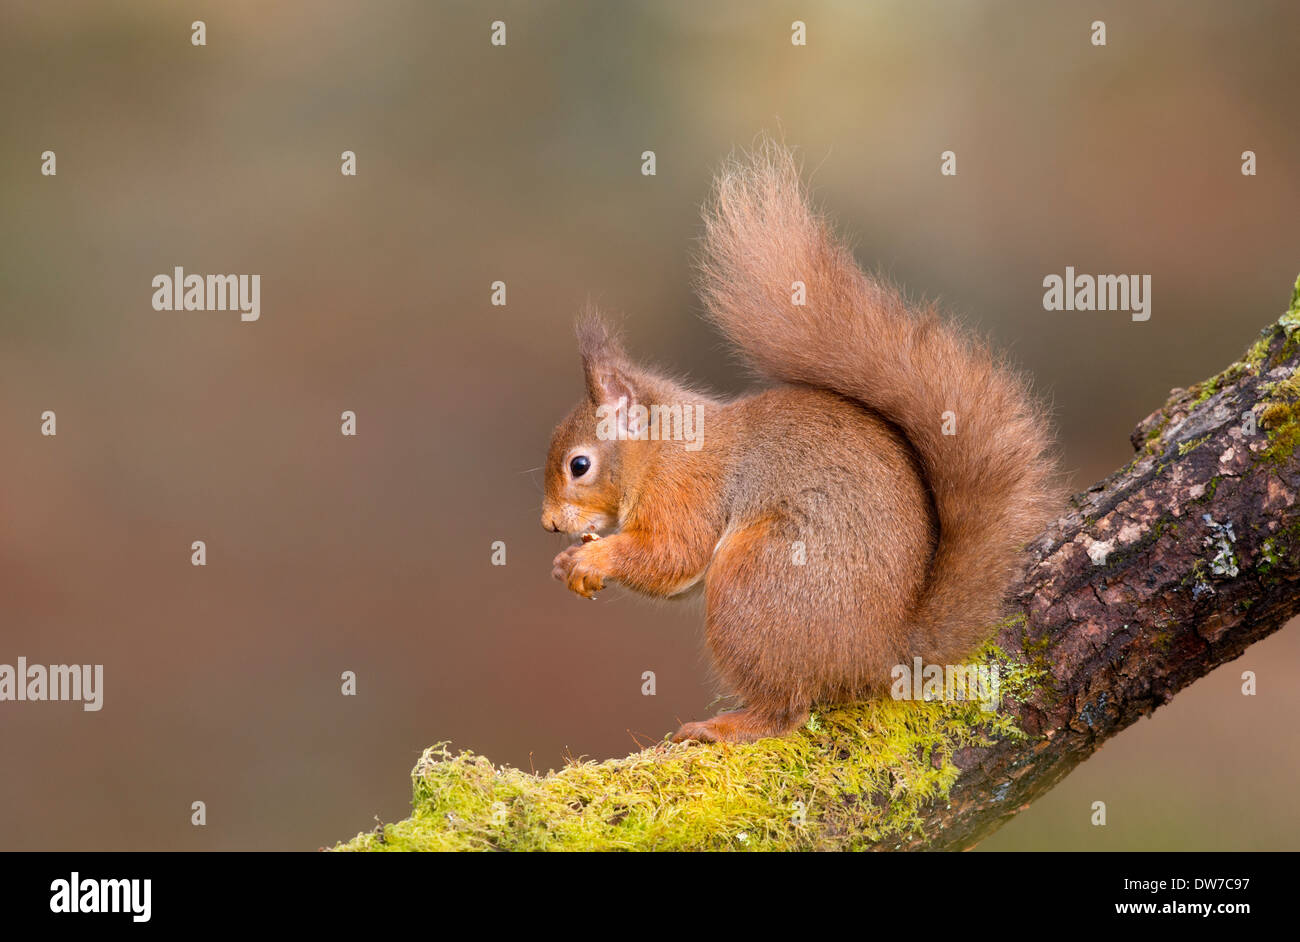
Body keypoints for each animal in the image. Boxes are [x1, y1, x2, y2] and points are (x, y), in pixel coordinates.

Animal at [543, 139, 1060, 743]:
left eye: (579, 465)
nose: (549, 525)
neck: (660, 452)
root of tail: (880, 651)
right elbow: (678, 578)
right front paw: (569, 564)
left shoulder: (687, 491)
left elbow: (672, 554)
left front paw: (591, 559)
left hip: (755, 583)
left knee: (785, 711)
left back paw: (726, 726)